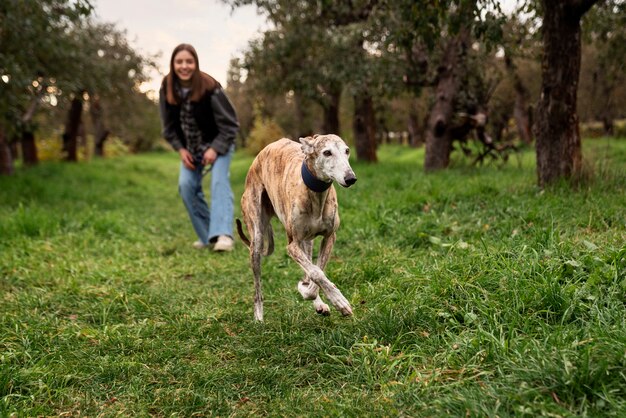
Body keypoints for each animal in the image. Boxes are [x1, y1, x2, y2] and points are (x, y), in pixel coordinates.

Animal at [236, 136, 356, 322]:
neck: (315, 192)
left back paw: (317, 301)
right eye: (327, 152)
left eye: (347, 151)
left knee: (310, 266)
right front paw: (340, 301)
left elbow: (317, 271)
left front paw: (309, 291)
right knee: (257, 289)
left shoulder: (330, 237)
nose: (350, 178)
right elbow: (316, 273)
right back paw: (259, 318)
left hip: (307, 242)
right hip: (256, 239)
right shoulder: (292, 245)